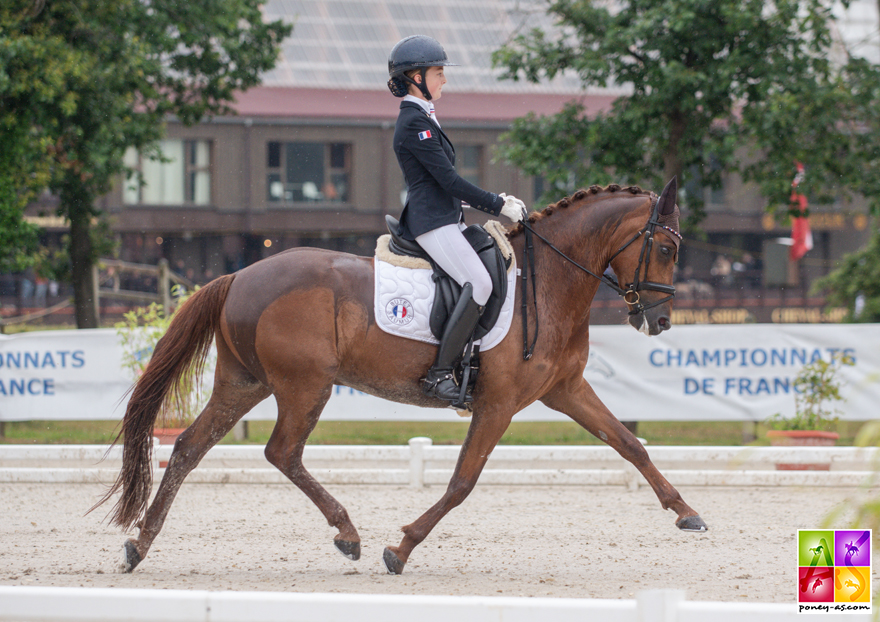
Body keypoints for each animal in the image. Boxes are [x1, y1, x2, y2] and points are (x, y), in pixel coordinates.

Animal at [96, 178, 704, 576]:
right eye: (666, 247)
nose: (659, 321)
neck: (549, 280)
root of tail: (240, 274)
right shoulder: (498, 404)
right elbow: (462, 482)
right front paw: (402, 548)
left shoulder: (565, 390)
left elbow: (629, 444)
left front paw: (687, 514)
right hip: (304, 385)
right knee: (281, 451)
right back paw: (348, 535)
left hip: (245, 382)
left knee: (189, 448)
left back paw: (139, 545)